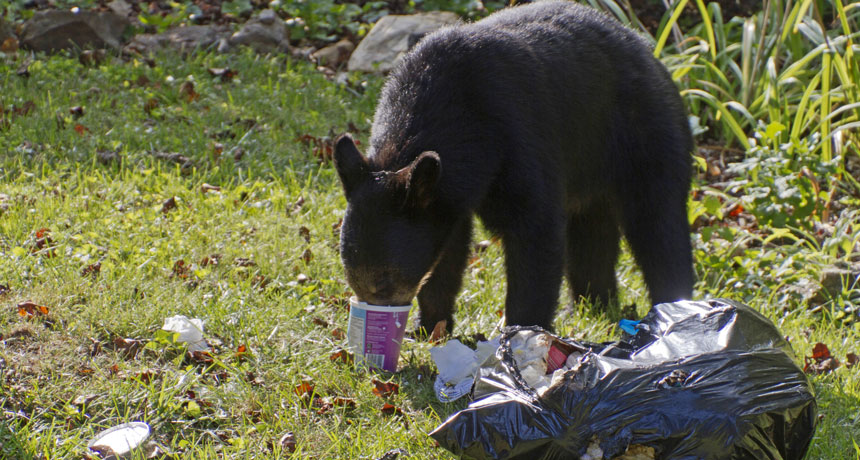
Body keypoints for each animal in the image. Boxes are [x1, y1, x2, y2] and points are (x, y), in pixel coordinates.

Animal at [333, 0, 694, 333]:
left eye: (383, 282)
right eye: (352, 278)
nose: (377, 318)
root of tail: (649, 52)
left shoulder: (518, 137)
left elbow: (536, 230)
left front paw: (522, 331)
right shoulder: (447, 193)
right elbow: (448, 250)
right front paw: (430, 326)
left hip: (645, 133)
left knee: (659, 223)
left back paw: (673, 309)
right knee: (592, 236)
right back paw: (591, 306)